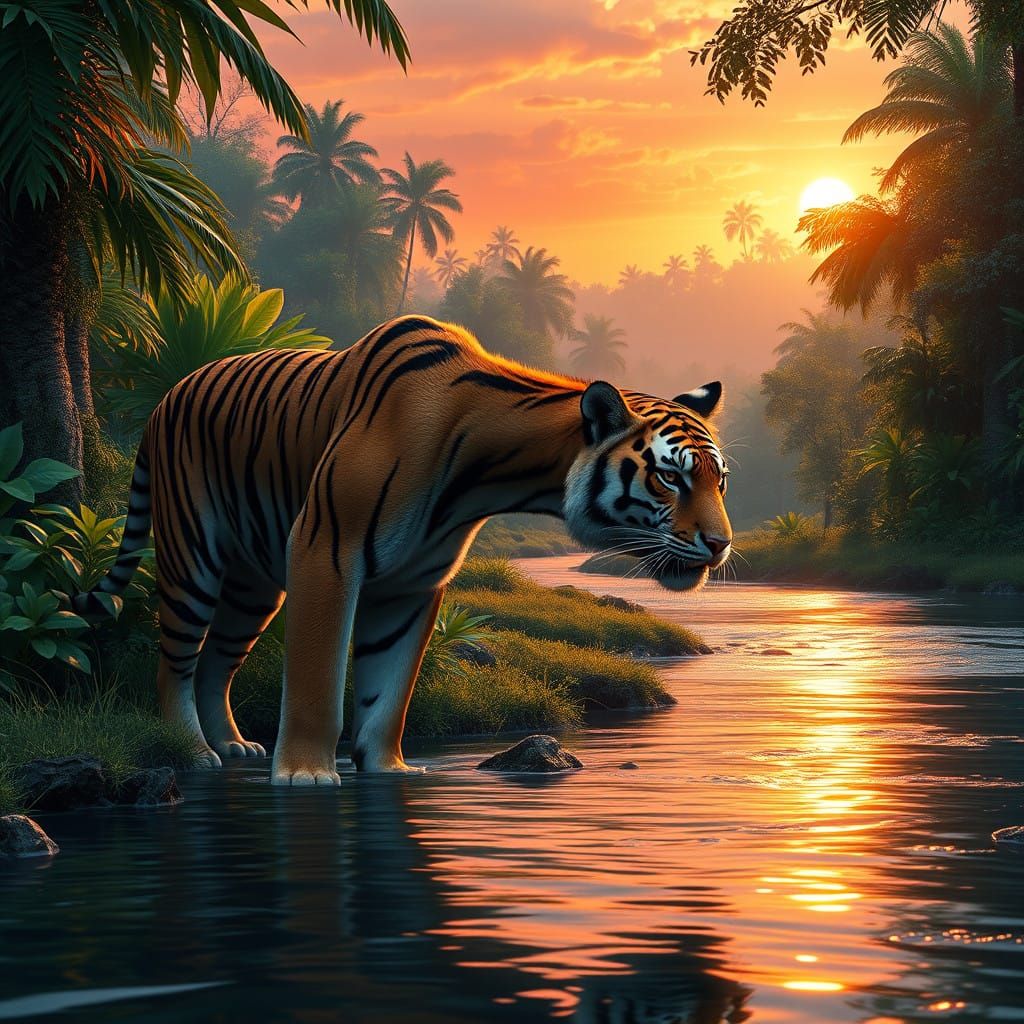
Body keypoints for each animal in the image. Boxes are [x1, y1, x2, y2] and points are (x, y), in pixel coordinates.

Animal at [75, 315, 732, 786]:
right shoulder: (324, 549)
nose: (722, 543)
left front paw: (386, 769)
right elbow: (318, 680)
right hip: (193, 557)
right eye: (670, 478)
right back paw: (193, 751)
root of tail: (169, 394)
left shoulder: (413, 581)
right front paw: (307, 776)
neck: (488, 477)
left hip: (253, 587)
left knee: (217, 660)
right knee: (175, 661)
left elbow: (388, 690)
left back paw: (234, 745)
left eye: (719, 480)